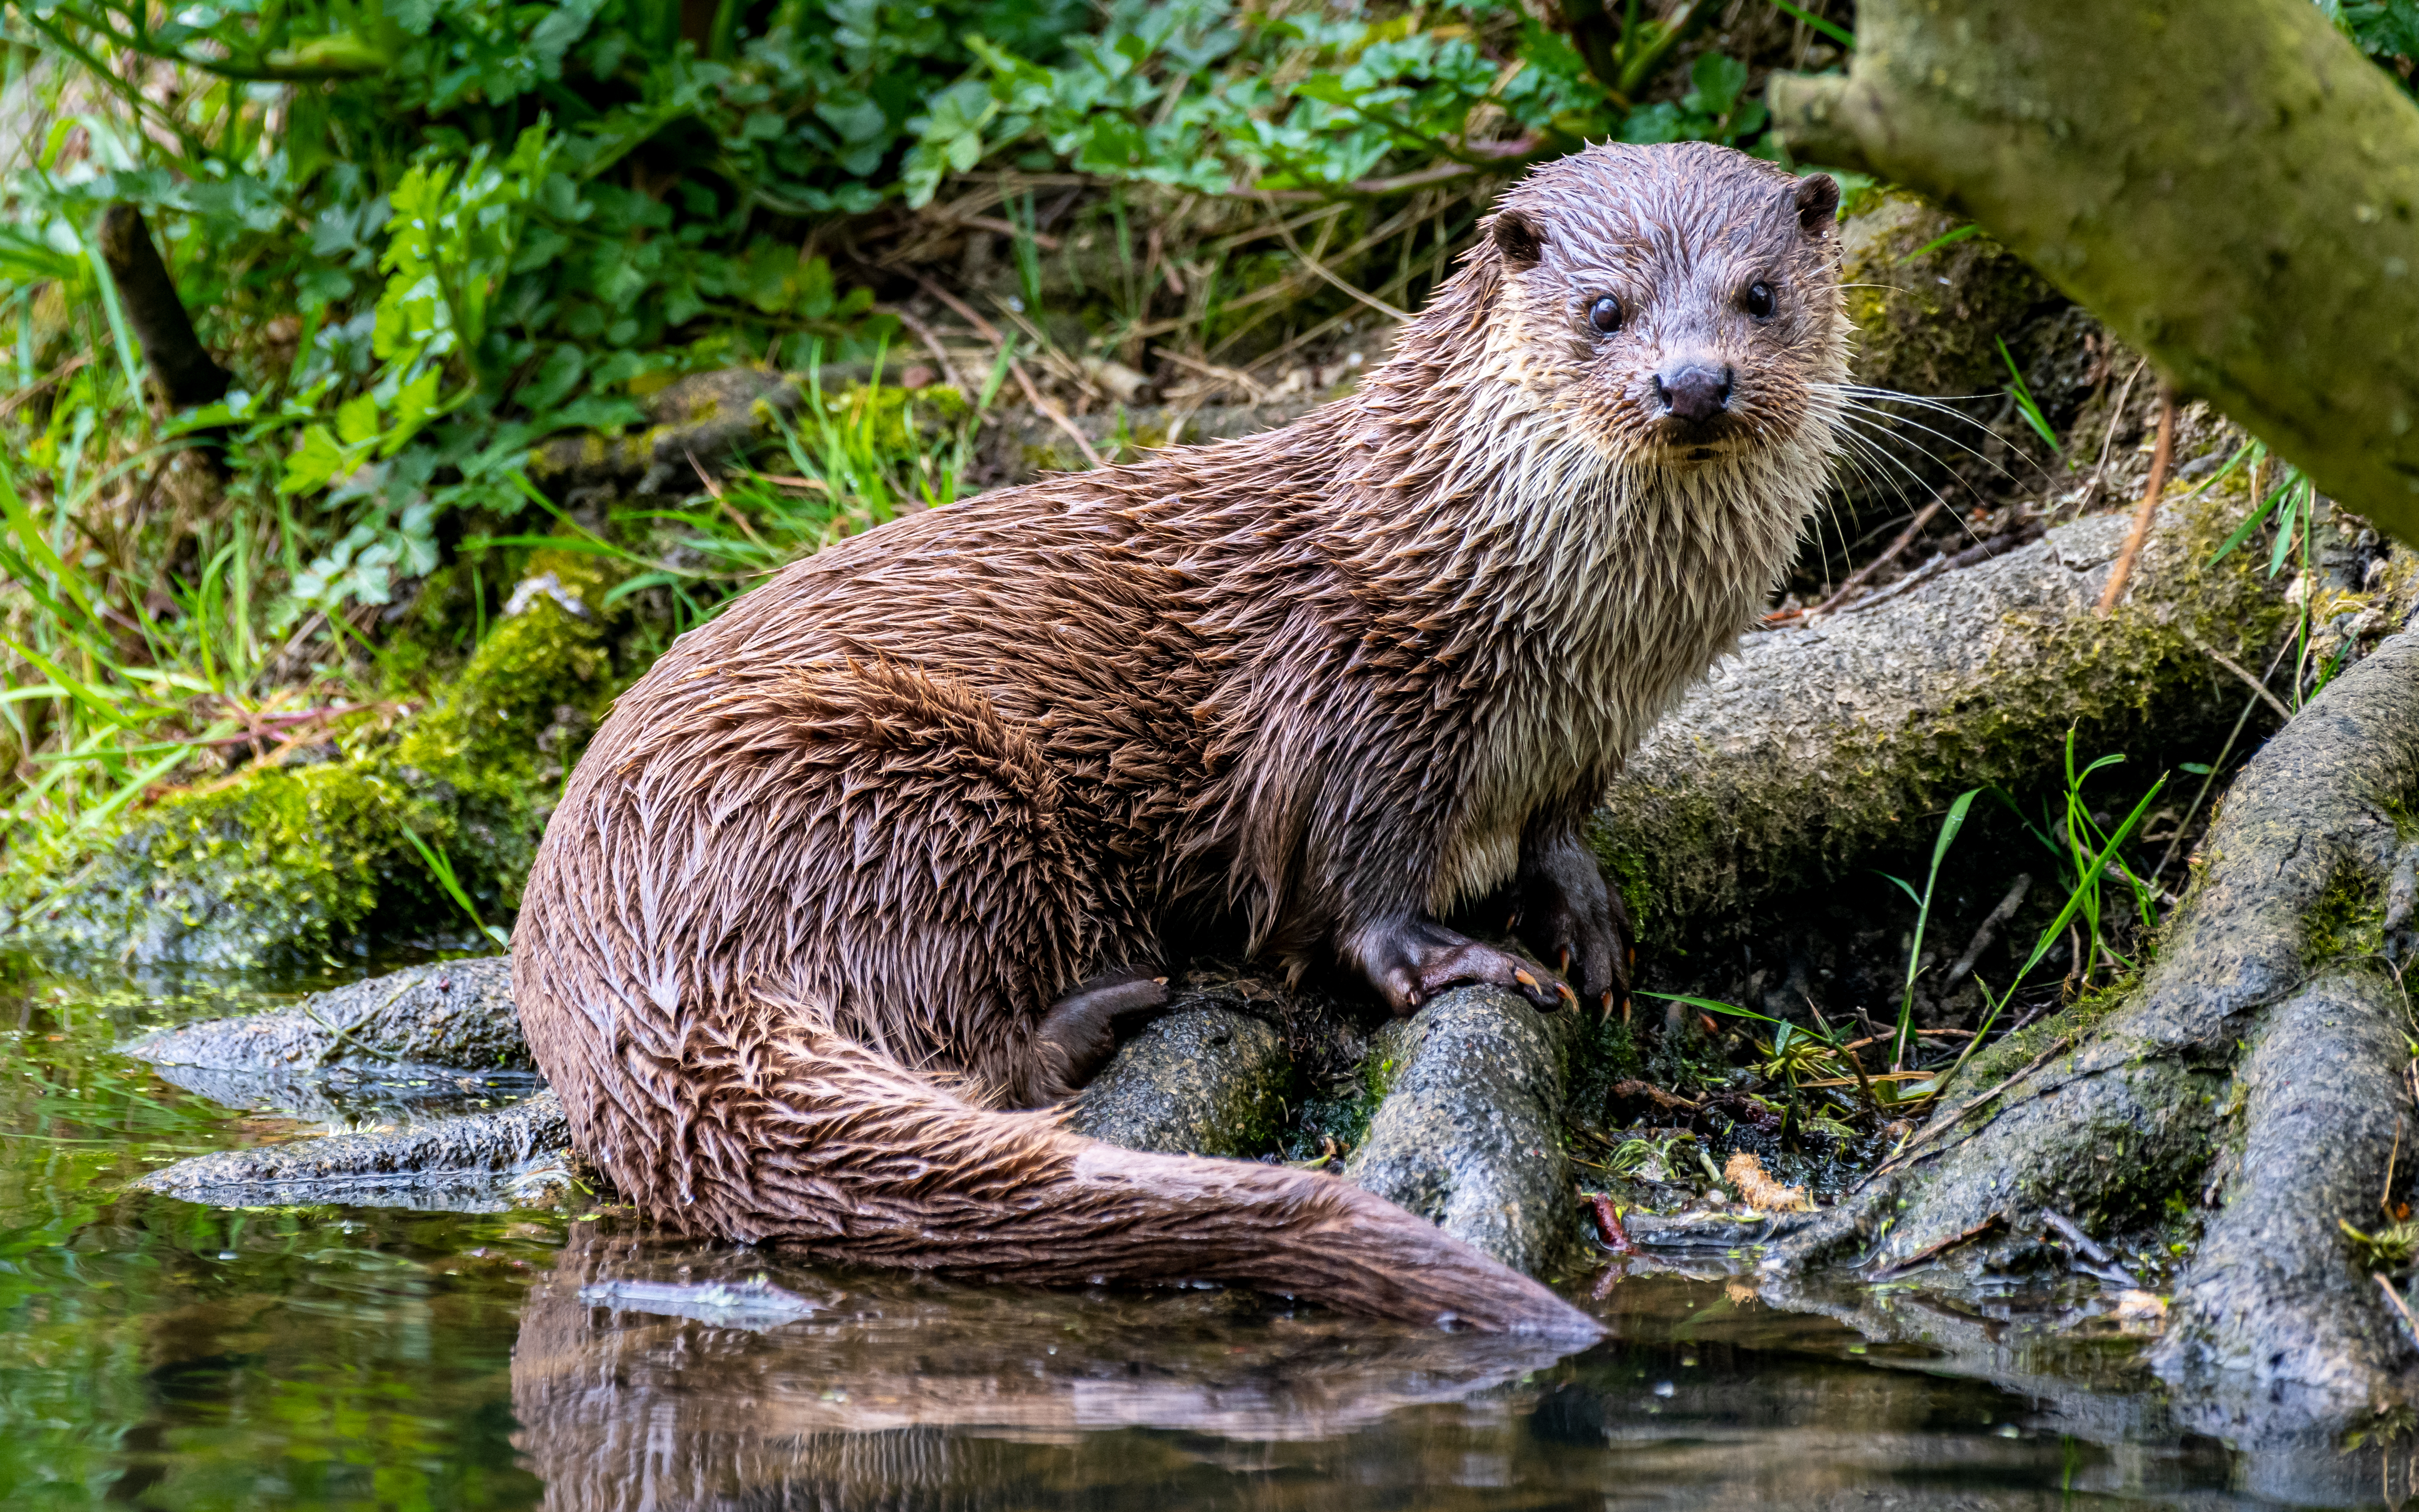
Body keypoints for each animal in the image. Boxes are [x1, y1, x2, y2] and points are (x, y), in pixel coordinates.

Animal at [506, 141, 1828, 1335]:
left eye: (1759, 294)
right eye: (1603, 310)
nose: (1692, 382)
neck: (1545, 636)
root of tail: (614, 947)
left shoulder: (1587, 736)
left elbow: (1557, 833)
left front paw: (1583, 917)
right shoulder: (1354, 695)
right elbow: (1354, 890)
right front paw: (1458, 959)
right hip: (905, 777)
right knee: (963, 1047)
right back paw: (1114, 1003)